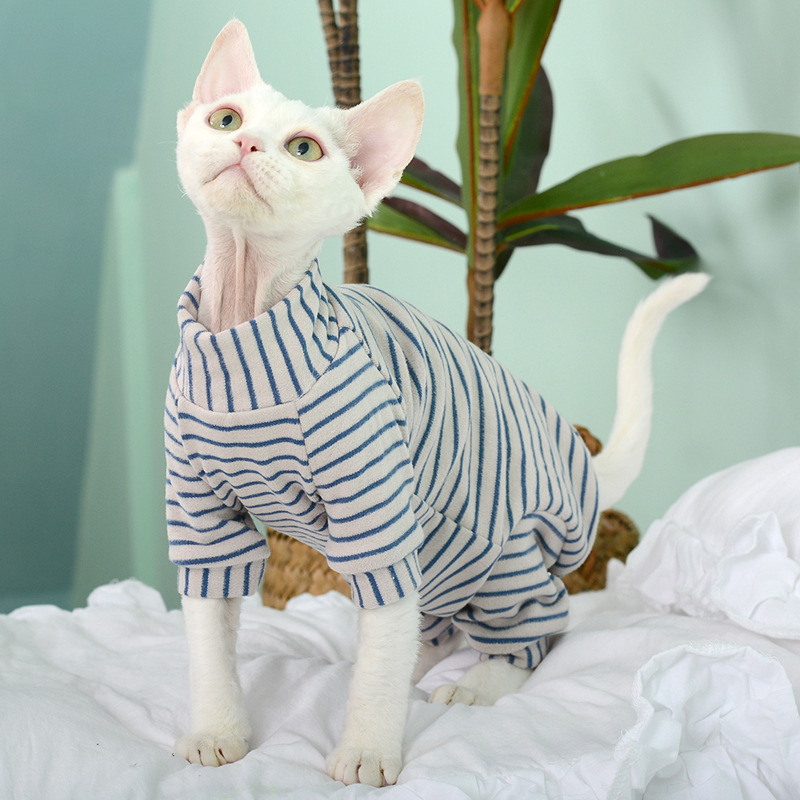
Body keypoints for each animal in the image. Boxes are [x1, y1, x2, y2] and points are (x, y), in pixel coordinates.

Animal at [166, 19, 709, 787]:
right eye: (226, 119)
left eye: (304, 148)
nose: (244, 145)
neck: (242, 331)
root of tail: (578, 465)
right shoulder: (202, 518)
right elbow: (210, 628)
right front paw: (218, 731)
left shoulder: (378, 512)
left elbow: (385, 647)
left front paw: (367, 750)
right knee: (424, 626)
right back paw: (411, 661)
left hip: (502, 552)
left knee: (539, 624)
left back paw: (480, 679)